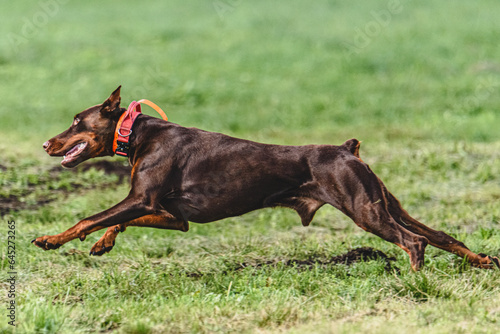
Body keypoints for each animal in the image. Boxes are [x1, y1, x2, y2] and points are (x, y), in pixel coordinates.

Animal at [33, 87, 498, 272]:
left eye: (76, 122)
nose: (46, 143)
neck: (138, 134)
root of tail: (347, 149)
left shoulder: (144, 199)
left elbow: (92, 216)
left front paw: (51, 239)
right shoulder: (172, 216)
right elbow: (118, 222)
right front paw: (101, 244)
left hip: (365, 208)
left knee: (414, 242)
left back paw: (414, 279)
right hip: (382, 200)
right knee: (440, 235)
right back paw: (482, 261)